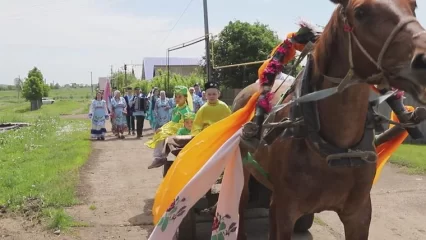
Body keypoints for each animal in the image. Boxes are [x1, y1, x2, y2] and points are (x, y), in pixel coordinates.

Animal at [233, 0, 426, 239]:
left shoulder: (359, 213)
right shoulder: (288, 209)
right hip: (243, 167)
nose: (423, 59)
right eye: (361, 12)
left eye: (414, 6)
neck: (337, 149)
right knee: (241, 203)